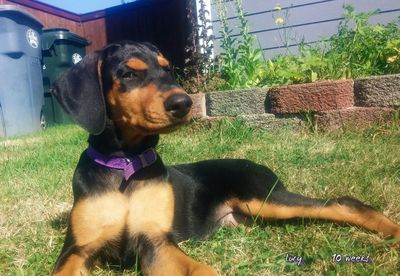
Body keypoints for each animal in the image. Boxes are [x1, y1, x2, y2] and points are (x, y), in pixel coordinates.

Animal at [52, 41, 400, 276]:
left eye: (166, 68)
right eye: (127, 73)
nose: (183, 103)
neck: (125, 164)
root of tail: (254, 163)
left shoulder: (155, 240)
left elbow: (201, 269)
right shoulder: (78, 248)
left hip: (264, 199)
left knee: (342, 203)